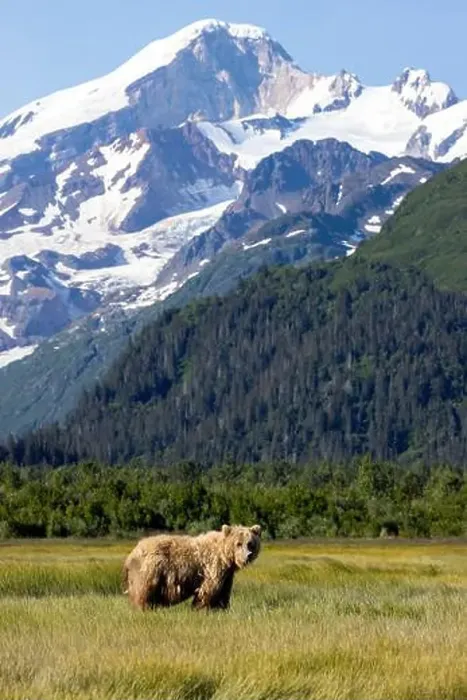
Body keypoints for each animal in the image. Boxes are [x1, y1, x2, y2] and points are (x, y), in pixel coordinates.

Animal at [122, 524, 262, 611]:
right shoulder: (212, 567)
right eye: (238, 543)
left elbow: (223, 591)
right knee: (144, 591)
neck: (226, 557)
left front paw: (222, 607)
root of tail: (132, 553)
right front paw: (202, 608)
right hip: (151, 569)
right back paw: (143, 608)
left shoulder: (227, 574)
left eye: (250, 543)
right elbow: (208, 590)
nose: (248, 555)